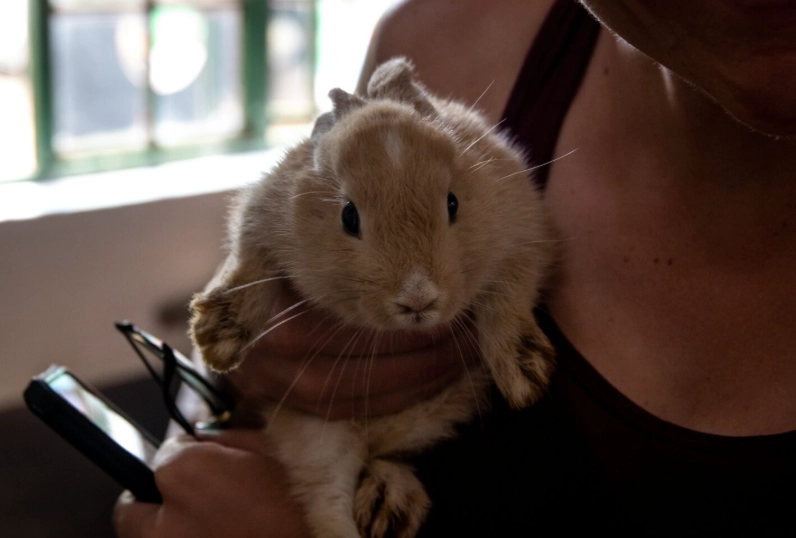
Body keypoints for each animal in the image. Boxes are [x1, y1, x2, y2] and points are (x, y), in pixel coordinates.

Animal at [189, 57, 557, 538]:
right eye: (349, 216)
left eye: (453, 203)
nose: (418, 298)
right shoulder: (260, 223)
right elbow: (249, 270)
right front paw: (216, 338)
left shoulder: (523, 233)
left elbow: (509, 299)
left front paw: (525, 378)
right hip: (319, 438)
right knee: (330, 505)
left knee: (385, 457)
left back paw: (389, 504)